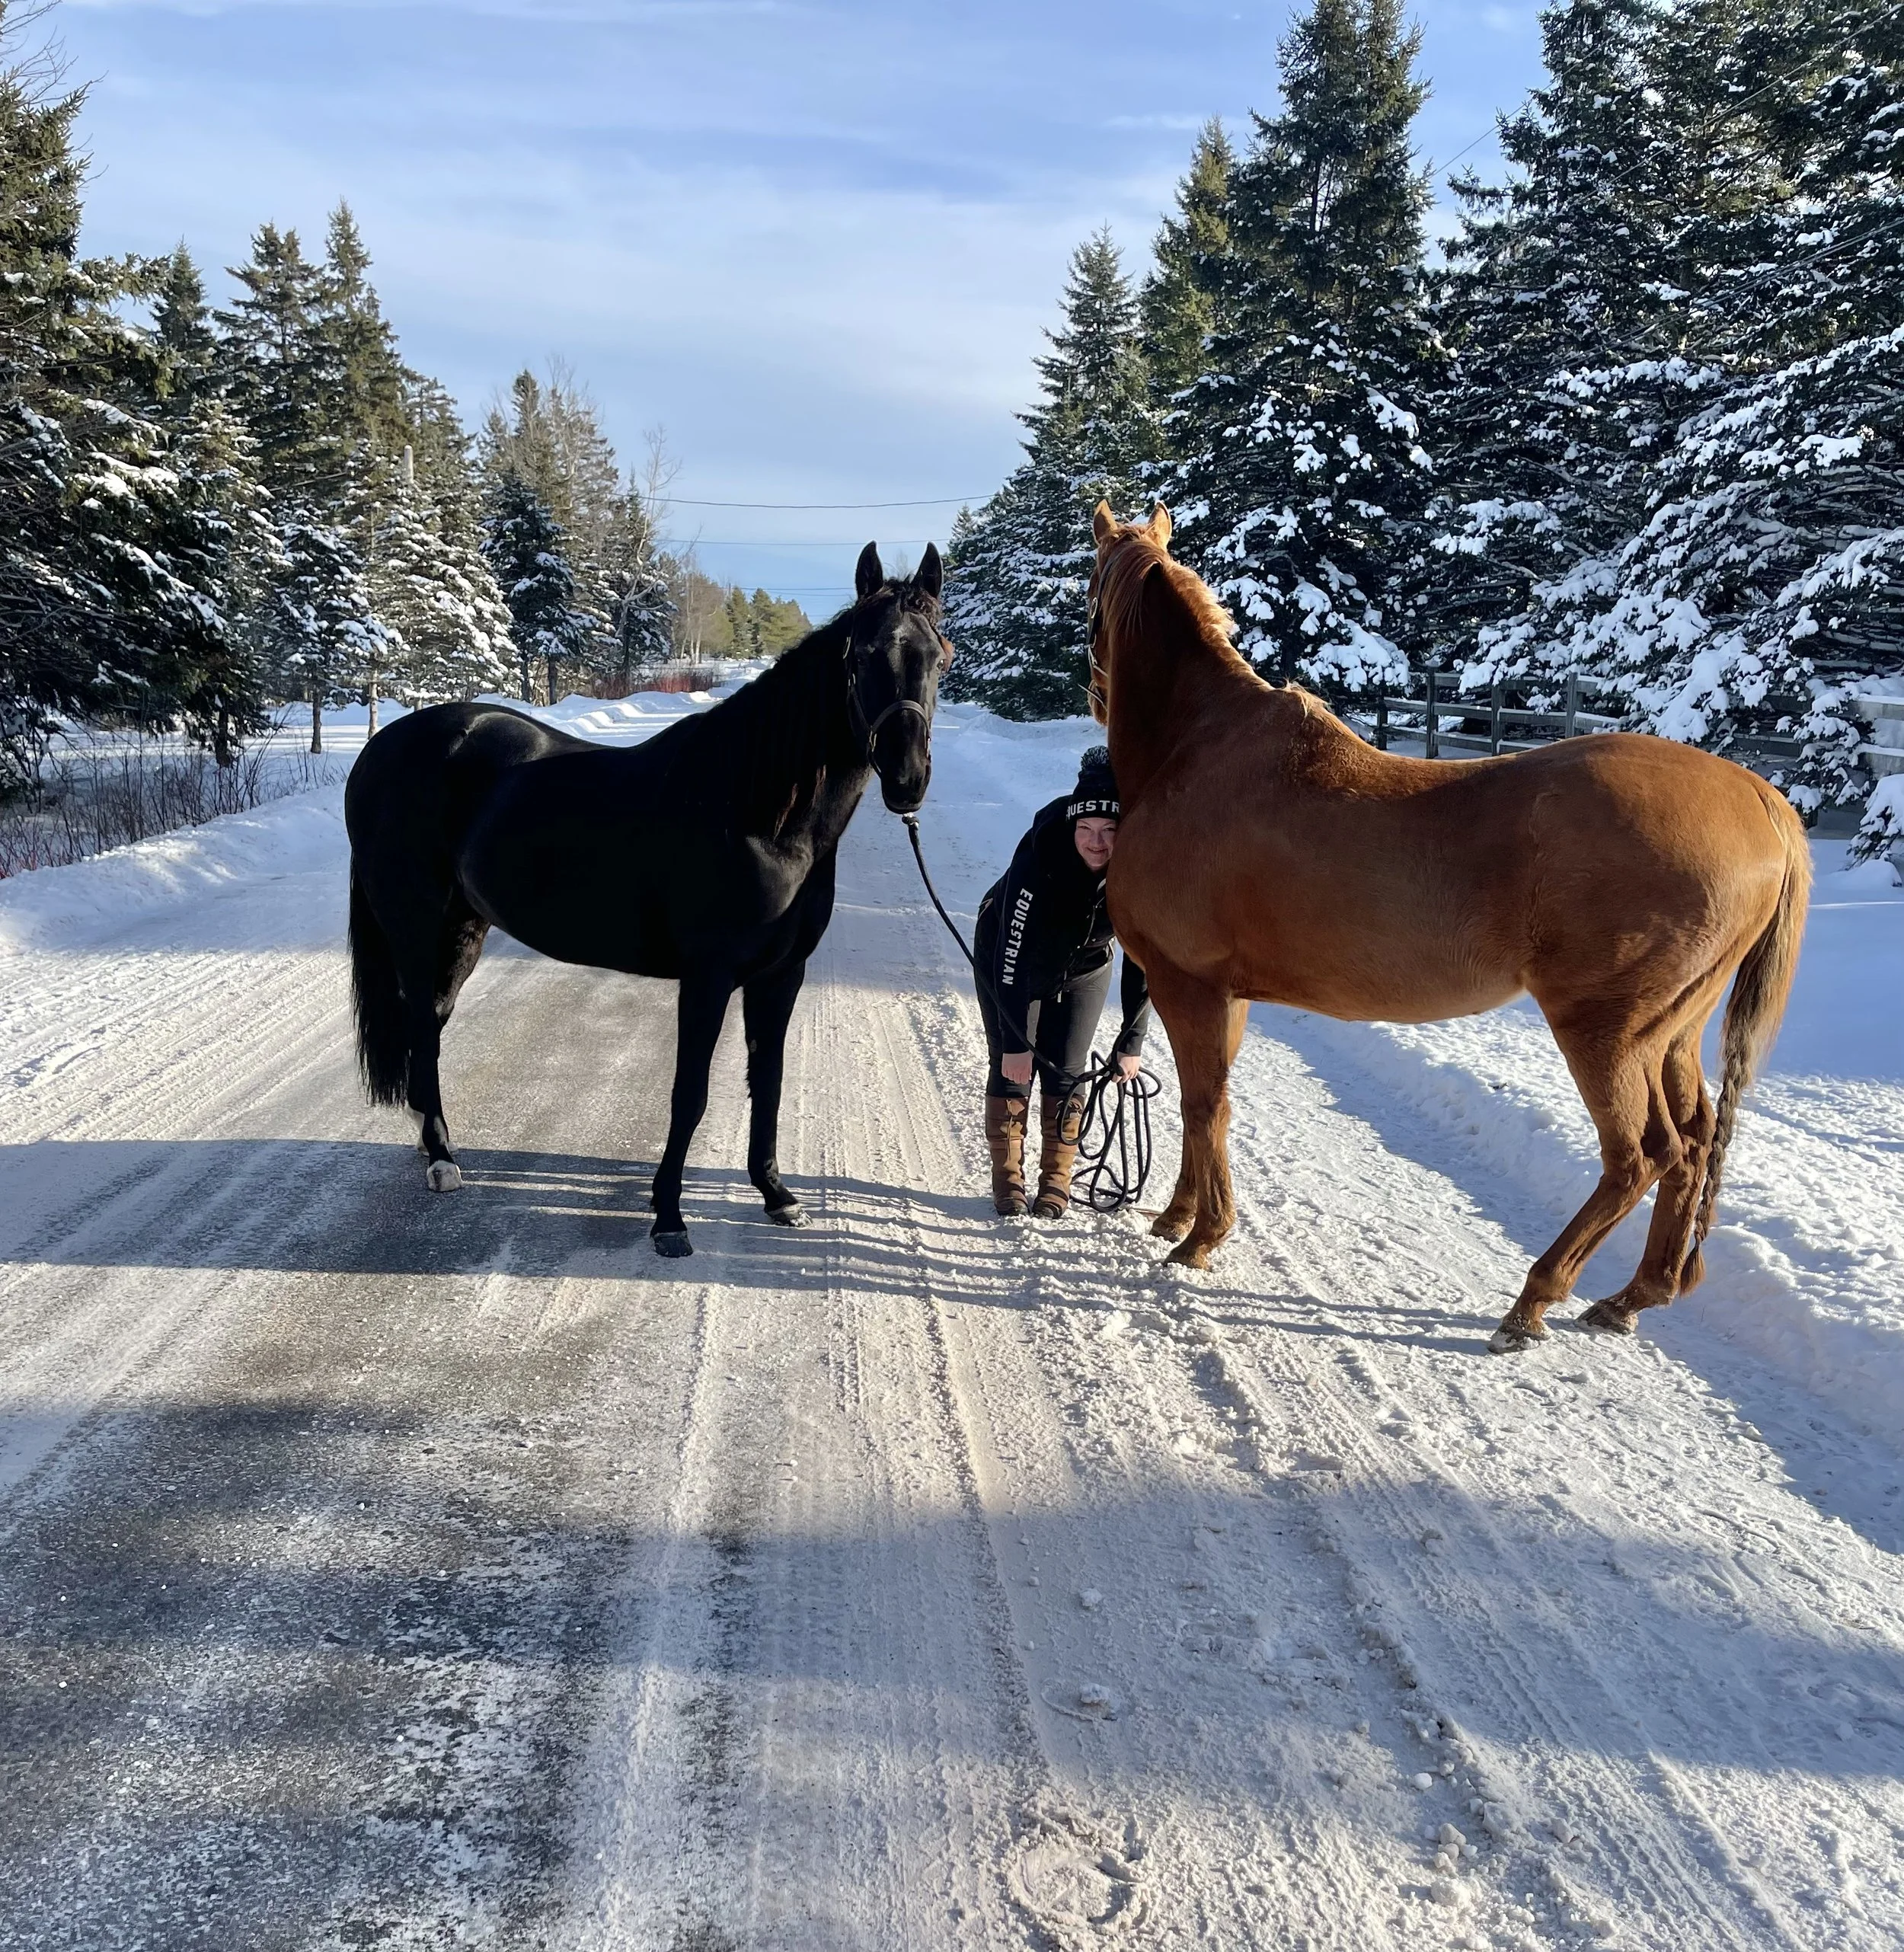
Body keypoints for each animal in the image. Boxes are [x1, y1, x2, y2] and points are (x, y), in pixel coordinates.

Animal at [344, 542, 950, 1257]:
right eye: (862, 657)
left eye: (939, 655)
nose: (908, 780)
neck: (756, 812)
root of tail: (379, 751)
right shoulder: (709, 977)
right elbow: (690, 1093)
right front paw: (668, 1217)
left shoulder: (781, 975)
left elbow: (768, 1081)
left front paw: (775, 1194)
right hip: (412, 923)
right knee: (420, 1025)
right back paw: (441, 1159)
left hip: (463, 925)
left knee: (431, 1024)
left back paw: (432, 1143)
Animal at [1086, 503, 1810, 1352]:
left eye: (1090, 598)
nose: (1094, 693)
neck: (1195, 751)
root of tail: (1759, 798)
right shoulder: (1225, 994)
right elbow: (1207, 1104)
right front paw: (1178, 1215)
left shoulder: (1187, 983)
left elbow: (1206, 1107)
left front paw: (1200, 1237)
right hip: (1671, 1033)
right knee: (1692, 1146)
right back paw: (1632, 1296)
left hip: (1607, 1033)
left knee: (1640, 1157)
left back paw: (1532, 1301)